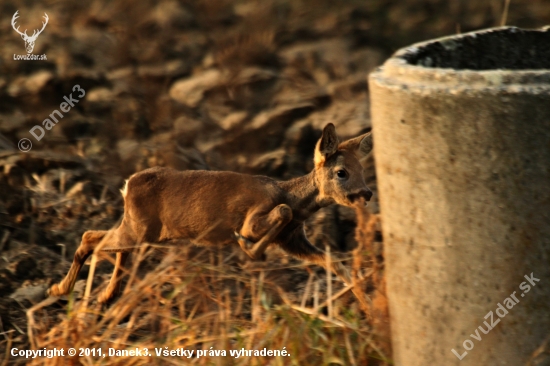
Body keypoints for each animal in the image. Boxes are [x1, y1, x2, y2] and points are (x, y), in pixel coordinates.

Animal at [48, 123, 376, 304]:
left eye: (363, 169)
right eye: (342, 172)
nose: (367, 193)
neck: (293, 197)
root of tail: (128, 185)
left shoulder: (292, 240)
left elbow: (335, 263)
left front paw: (368, 308)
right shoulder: (255, 217)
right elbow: (275, 215)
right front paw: (247, 246)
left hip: (140, 230)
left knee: (104, 243)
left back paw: (102, 294)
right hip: (138, 229)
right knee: (91, 237)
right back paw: (61, 289)